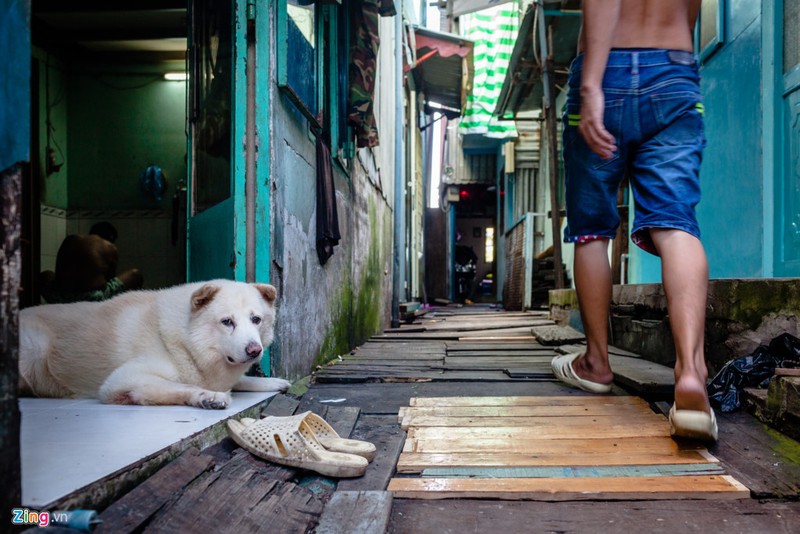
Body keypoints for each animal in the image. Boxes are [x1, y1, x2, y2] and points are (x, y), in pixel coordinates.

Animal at [18, 280, 290, 410]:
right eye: (227, 322)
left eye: (256, 320)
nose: (254, 350)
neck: (183, 341)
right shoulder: (121, 380)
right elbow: (183, 385)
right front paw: (207, 396)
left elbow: (241, 381)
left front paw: (273, 382)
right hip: (36, 344)